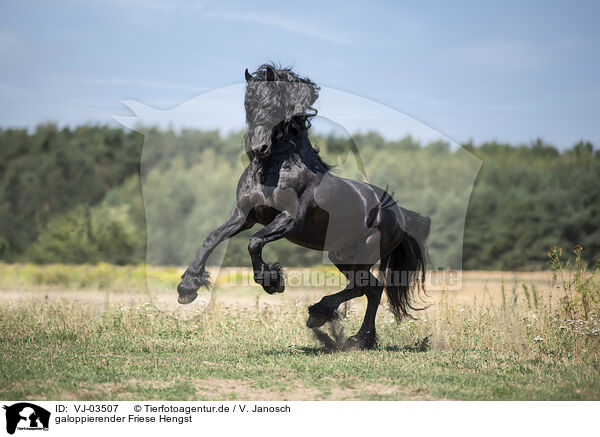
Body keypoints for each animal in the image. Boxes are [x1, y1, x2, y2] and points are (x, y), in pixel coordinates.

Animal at [176, 64, 428, 350]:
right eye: (248, 104)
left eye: (274, 105)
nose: (259, 148)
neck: (273, 169)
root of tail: (398, 215)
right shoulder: (244, 215)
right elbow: (212, 238)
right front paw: (187, 287)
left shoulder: (289, 220)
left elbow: (254, 242)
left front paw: (273, 282)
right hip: (341, 255)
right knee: (370, 289)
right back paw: (359, 338)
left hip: (362, 253)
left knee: (364, 288)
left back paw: (323, 316)